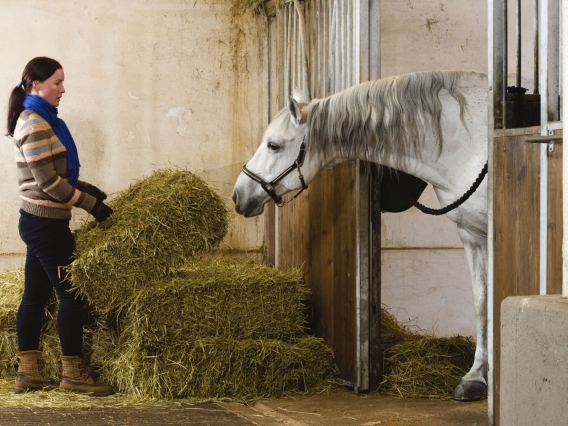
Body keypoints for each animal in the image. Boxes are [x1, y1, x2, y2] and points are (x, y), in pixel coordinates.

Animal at [233, 70, 490, 402]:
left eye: (273, 146)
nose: (238, 196)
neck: (470, 146)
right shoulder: (472, 234)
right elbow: (482, 302)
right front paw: (475, 378)